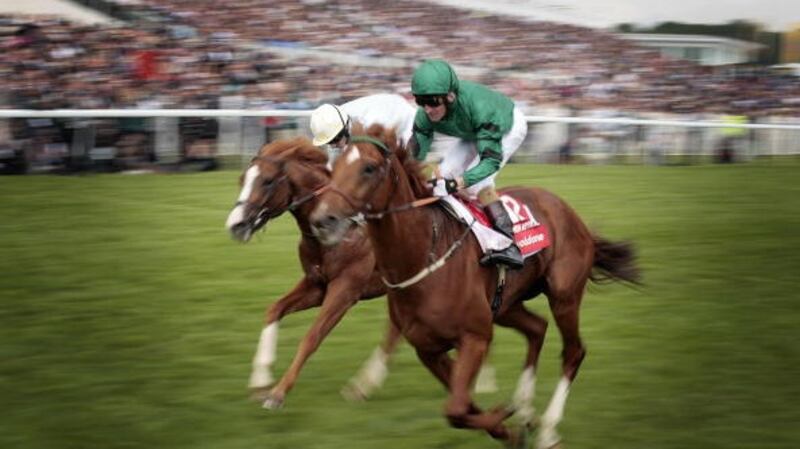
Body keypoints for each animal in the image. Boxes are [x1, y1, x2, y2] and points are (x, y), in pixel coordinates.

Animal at [310, 124, 640, 446]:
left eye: (368, 168)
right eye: (334, 165)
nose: (322, 220)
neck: (424, 255)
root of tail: (570, 213)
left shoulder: (475, 337)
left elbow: (456, 409)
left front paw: (507, 421)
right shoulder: (429, 349)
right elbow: (463, 405)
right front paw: (507, 425)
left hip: (564, 296)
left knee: (573, 352)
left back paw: (547, 429)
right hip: (505, 305)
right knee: (537, 328)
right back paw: (524, 409)